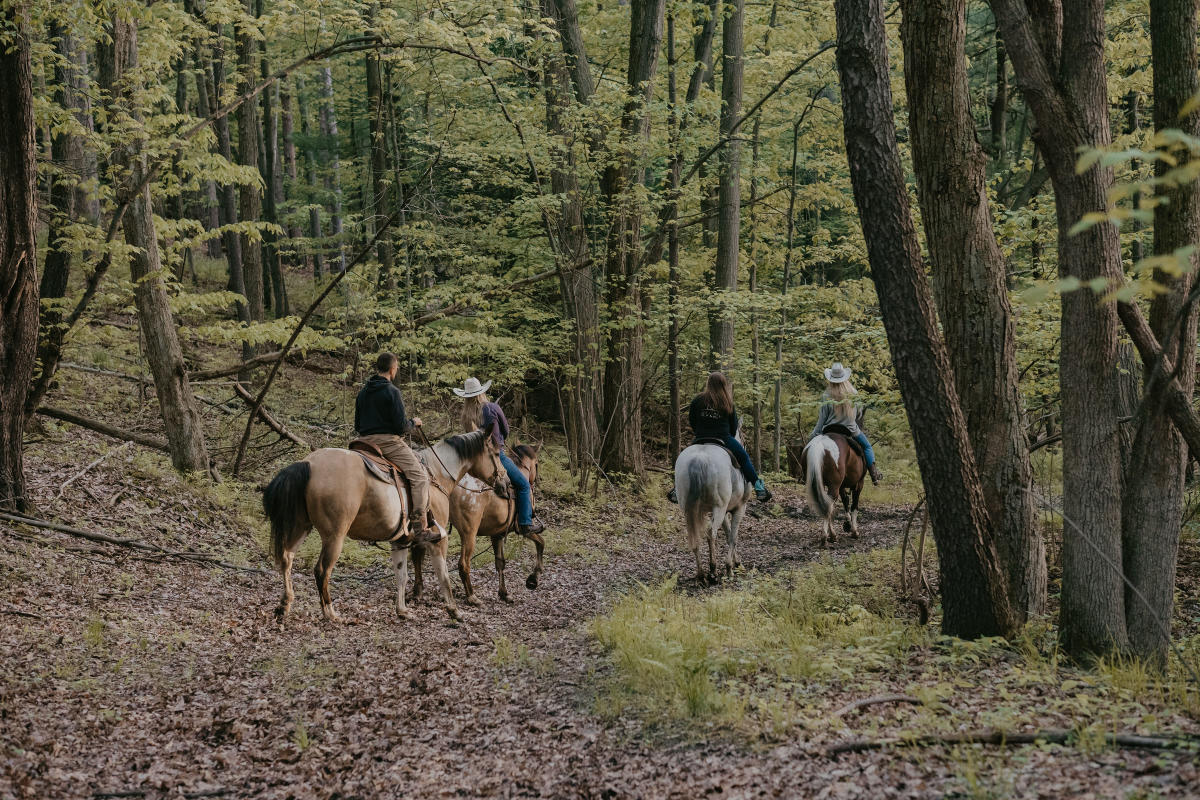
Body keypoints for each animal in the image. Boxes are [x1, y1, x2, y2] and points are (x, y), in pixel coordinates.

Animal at [262, 424, 506, 623]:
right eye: (495, 453)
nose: (504, 481)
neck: (436, 474)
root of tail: (308, 462)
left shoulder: (400, 541)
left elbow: (402, 575)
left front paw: (402, 611)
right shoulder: (438, 540)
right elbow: (443, 574)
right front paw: (454, 610)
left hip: (301, 527)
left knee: (286, 558)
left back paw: (284, 605)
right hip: (334, 535)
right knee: (322, 570)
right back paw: (330, 613)